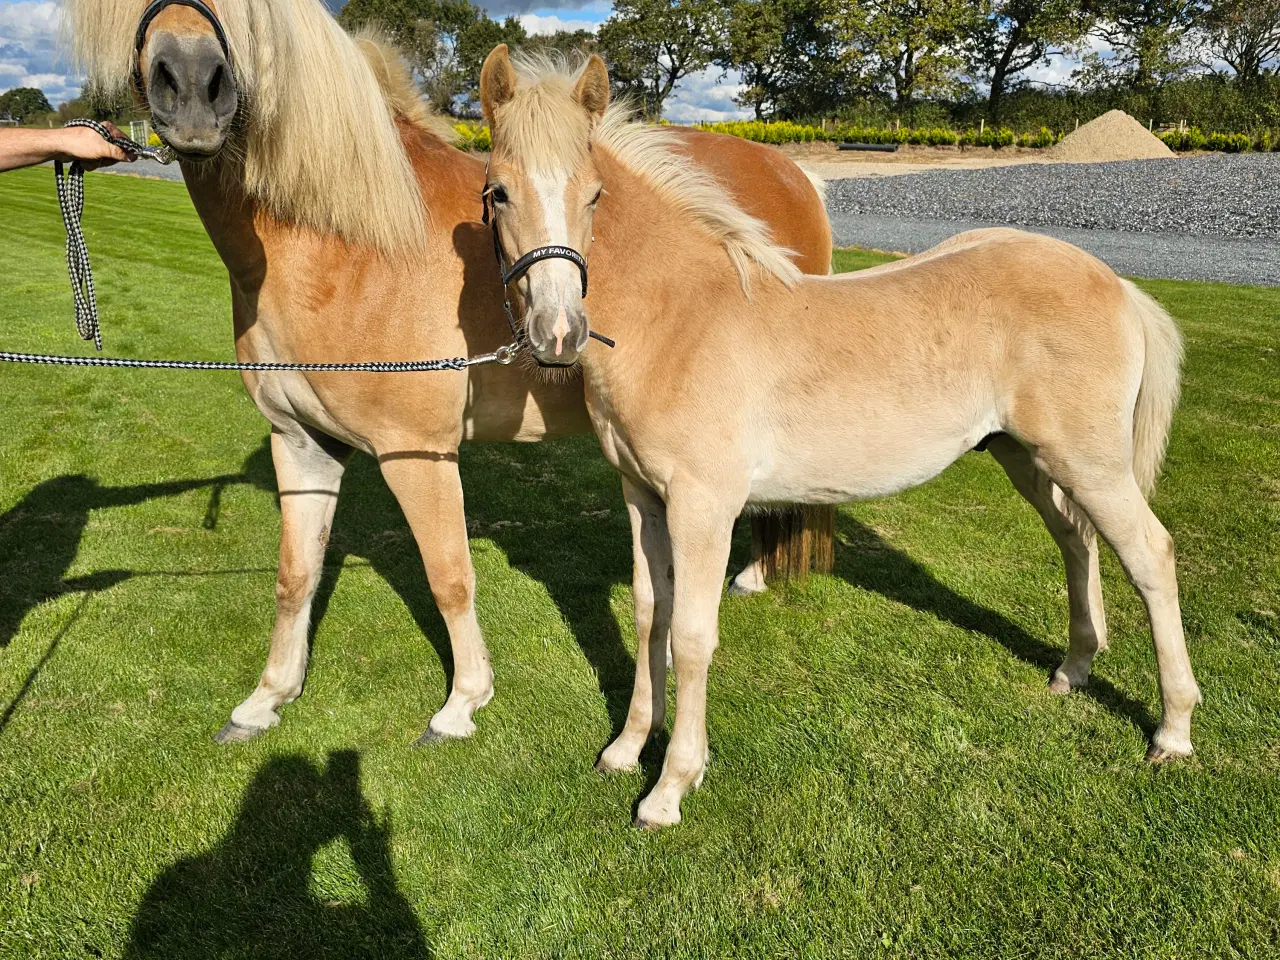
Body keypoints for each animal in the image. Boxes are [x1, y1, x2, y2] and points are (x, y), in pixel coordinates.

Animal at [64, 0, 834, 742]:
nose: (192, 86)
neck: (350, 242)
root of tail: (796, 174)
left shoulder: (416, 453)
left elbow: (449, 576)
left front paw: (463, 703)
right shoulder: (302, 442)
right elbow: (295, 574)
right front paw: (267, 699)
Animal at [481, 50, 1198, 834]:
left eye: (595, 195)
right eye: (497, 193)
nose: (558, 333)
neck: (680, 317)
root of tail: (1119, 285)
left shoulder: (704, 508)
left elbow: (692, 637)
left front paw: (670, 787)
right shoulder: (643, 499)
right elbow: (649, 617)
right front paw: (626, 749)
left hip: (1091, 463)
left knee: (1151, 556)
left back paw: (1173, 731)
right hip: (1029, 457)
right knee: (1078, 539)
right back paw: (1073, 670)